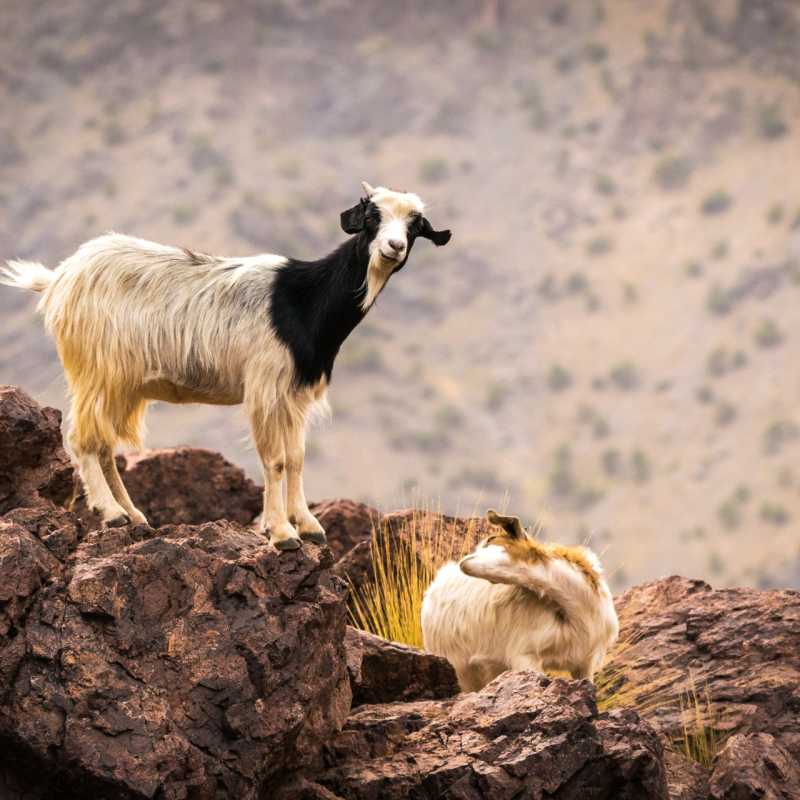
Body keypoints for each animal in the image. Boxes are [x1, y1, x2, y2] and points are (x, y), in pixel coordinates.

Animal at [1, 181, 451, 549]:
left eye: (415, 226)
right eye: (372, 217)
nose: (394, 247)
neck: (304, 299)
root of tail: (59, 279)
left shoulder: (295, 392)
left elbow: (297, 457)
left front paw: (308, 526)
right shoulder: (266, 386)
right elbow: (276, 460)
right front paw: (281, 534)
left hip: (121, 383)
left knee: (103, 443)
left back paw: (133, 516)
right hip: (97, 371)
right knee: (81, 437)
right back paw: (110, 513)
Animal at [421, 510, 618, 690]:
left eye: (492, 539)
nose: (464, 562)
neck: (576, 610)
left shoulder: (585, 664)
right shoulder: (525, 655)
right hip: (459, 666)